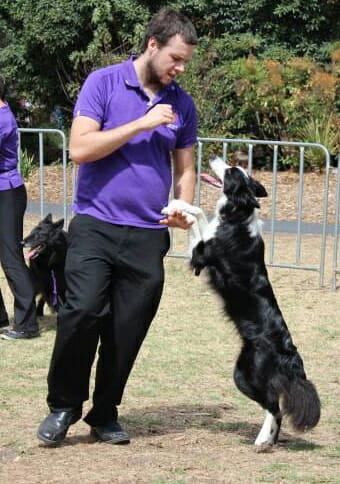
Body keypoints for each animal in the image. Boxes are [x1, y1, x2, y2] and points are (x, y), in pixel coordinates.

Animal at [191, 164, 322, 448]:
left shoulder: (200, 255)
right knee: (276, 407)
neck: (237, 216)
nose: (215, 158)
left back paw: (261, 440)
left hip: (244, 373)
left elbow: (197, 216)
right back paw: (268, 441)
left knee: (274, 406)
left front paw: (173, 207)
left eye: (229, 171)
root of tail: (290, 356)